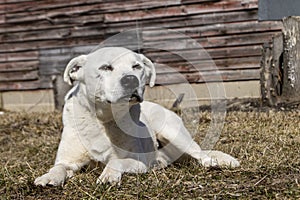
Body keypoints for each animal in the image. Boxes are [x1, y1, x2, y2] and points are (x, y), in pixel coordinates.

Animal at [34, 47, 239, 188]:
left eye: (136, 66)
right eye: (105, 67)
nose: (130, 79)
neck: (103, 119)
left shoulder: (138, 162)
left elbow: (116, 160)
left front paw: (108, 176)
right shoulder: (67, 161)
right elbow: (59, 167)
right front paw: (48, 177)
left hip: (172, 132)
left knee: (200, 154)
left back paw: (212, 163)